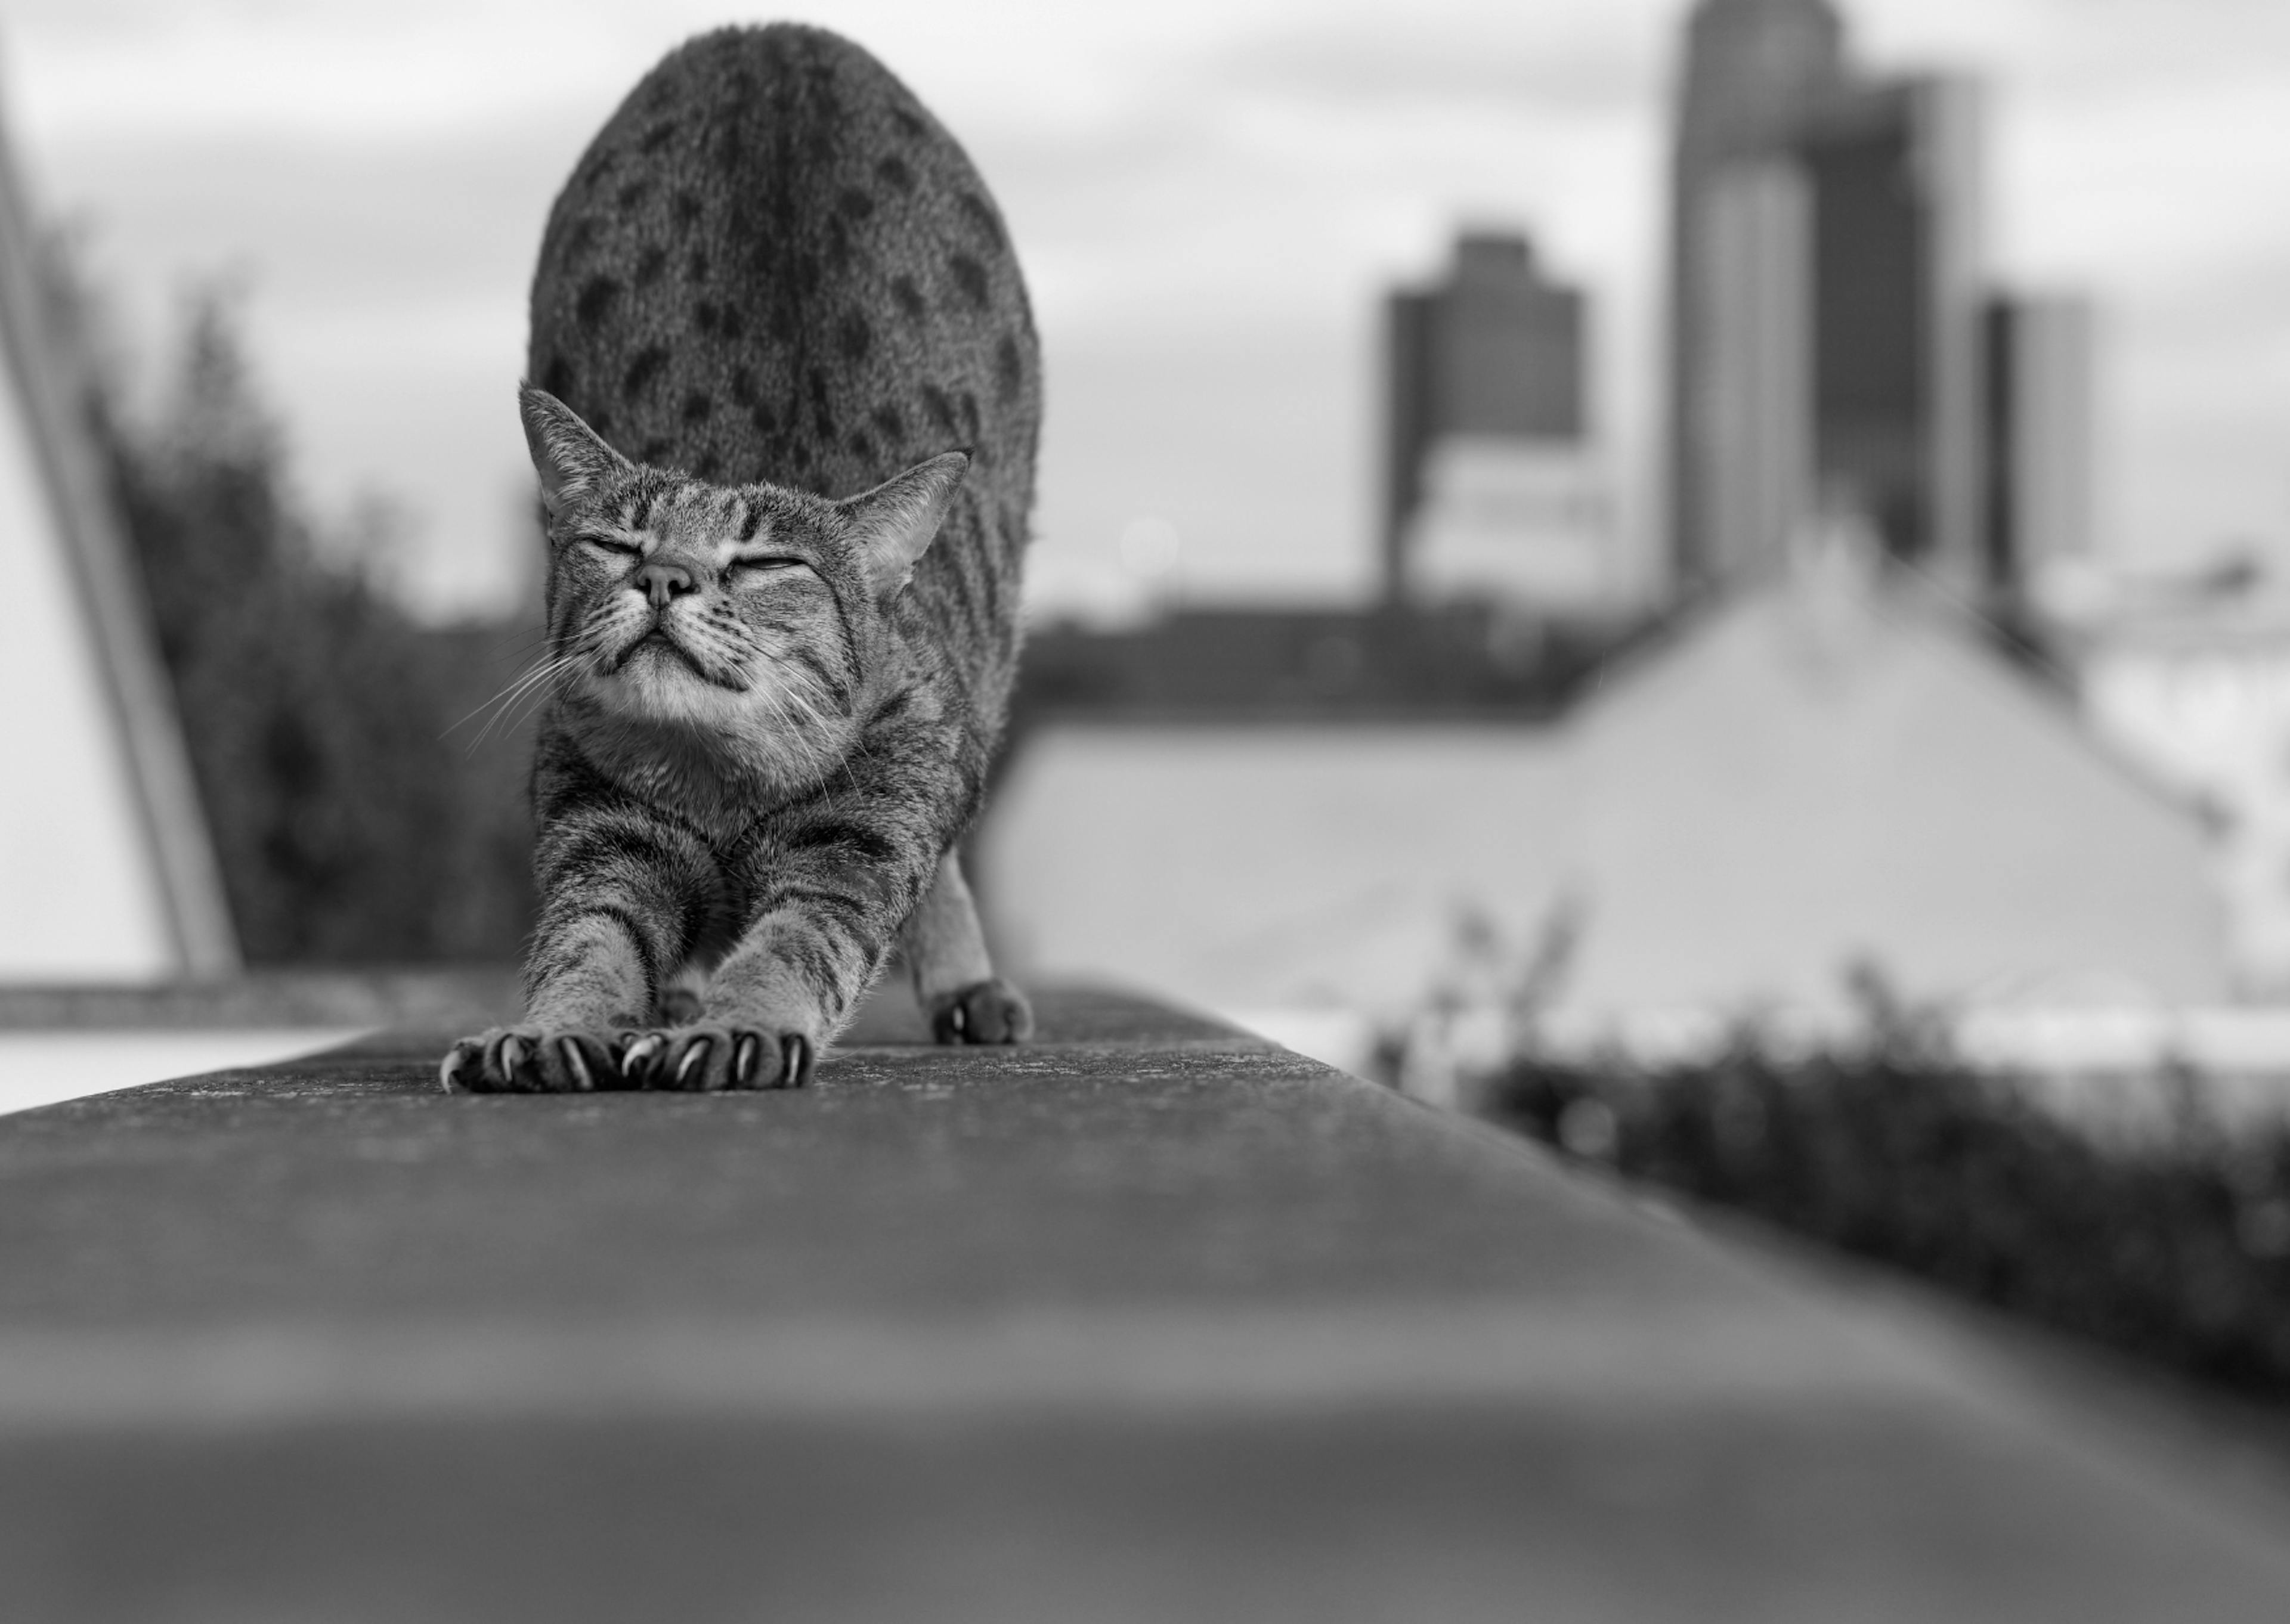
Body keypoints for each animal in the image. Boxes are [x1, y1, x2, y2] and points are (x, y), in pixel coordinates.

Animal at [440, 22, 1048, 1090]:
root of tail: (776, 34)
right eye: (617, 543)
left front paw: (740, 1025)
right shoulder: (603, 839)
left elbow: (799, 942)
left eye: (765, 565)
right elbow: (585, 948)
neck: (720, 790)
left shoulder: (859, 841)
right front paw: (554, 1030)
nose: (665, 576)